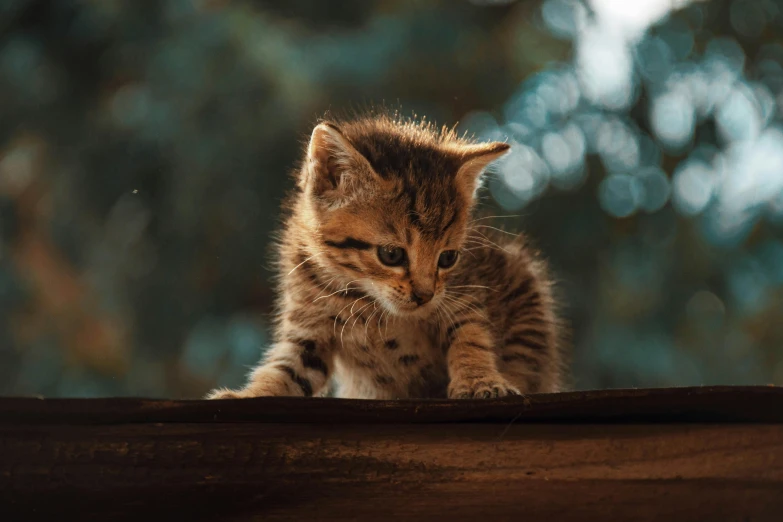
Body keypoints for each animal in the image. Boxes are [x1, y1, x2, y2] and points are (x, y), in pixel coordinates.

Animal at [207, 114, 564, 398]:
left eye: (448, 258)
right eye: (391, 254)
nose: (424, 295)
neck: (365, 299)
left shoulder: (464, 293)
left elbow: (470, 334)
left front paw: (480, 382)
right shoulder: (309, 325)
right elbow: (287, 368)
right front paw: (248, 396)